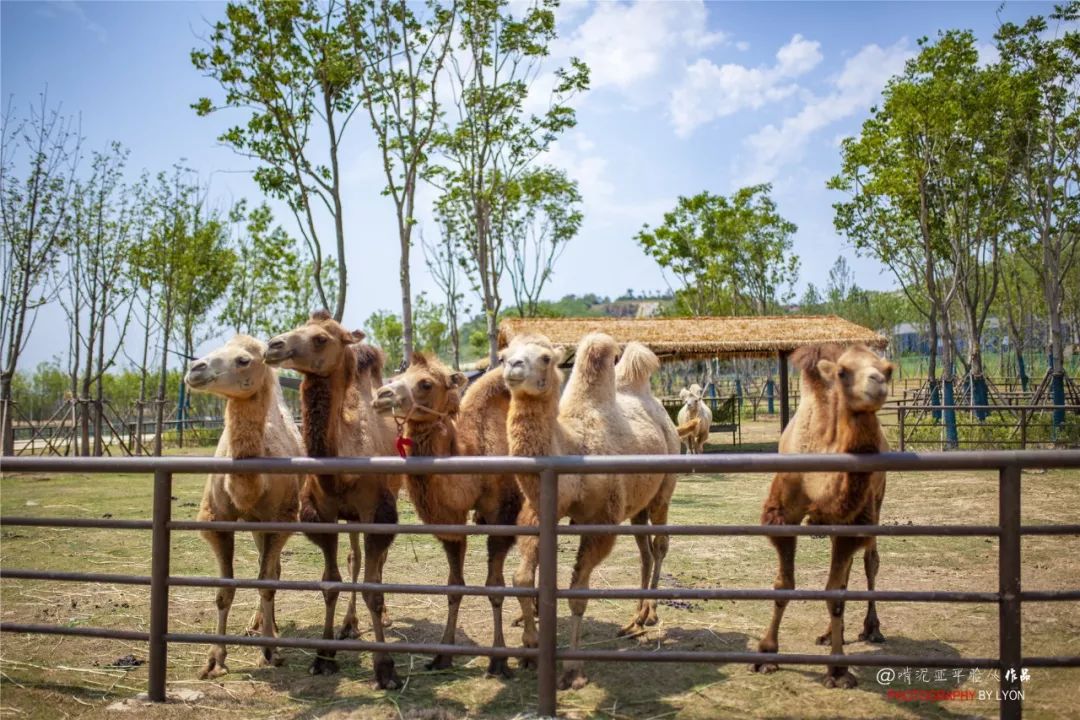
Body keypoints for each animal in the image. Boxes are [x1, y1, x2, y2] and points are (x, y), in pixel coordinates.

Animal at [181, 334, 300, 677]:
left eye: (243, 360)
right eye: (219, 347)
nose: (195, 368)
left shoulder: (281, 520)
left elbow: (266, 584)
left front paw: (269, 652)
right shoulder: (216, 520)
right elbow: (225, 590)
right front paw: (213, 660)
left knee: (272, 572)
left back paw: (268, 629)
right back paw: (259, 624)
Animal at [265, 313, 406, 690]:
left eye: (320, 339)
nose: (273, 346)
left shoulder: (377, 511)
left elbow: (373, 587)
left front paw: (385, 668)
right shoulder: (321, 514)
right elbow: (330, 582)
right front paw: (323, 657)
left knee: (378, 563)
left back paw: (382, 618)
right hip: (350, 517)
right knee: (354, 557)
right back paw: (348, 625)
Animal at [371, 356, 522, 682]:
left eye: (426, 383)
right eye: (398, 374)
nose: (382, 396)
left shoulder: (503, 517)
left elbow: (495, 587)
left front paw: (499, 659)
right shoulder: (452, 522)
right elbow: (454, 586)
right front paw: (443, 655)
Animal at [503, 334, 673, 690]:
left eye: (545, 358)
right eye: (503, 354)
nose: (513, 367)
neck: (571, 448)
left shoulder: (600, 522)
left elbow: (578, 594)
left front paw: (573, 670)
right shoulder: (541, 510)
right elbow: (521, 577)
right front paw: (530, 646)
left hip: (665, 488)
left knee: (660, 544)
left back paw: (649, 613)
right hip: (637, 504)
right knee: (645, 550)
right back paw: (635, 619)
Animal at [751, 345, 894, 690]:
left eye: (889, 369)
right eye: (842, 372)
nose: (878, 382)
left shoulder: (855, 519)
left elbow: (835, 593)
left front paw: (838, 670)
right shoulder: (785, 513)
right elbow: (784, 585)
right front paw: (767, 653)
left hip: (878, 499)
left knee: (870, 561)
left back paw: (872, 628)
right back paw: (829, 633)